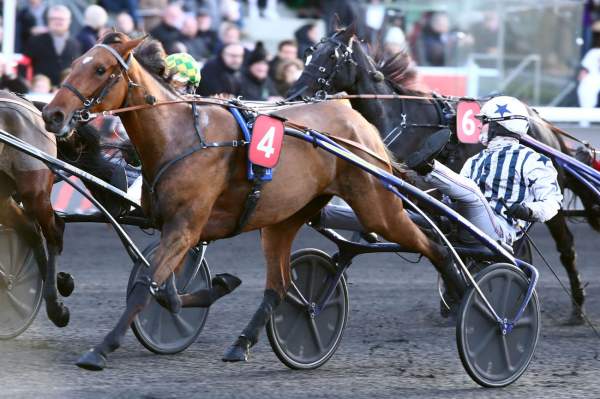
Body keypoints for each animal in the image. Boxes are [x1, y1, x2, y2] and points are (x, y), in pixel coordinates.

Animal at [44, 33, 466, 372]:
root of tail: (358, 123)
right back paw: (242, 342)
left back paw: (462, 291)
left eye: (100, 69)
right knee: (278, 286)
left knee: (433, 243)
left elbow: (147, 284)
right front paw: (211, 289)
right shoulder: (175, 227)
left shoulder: (186, 226)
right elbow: (163, 287)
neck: (182, 136)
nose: (53, 114)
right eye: (75, 64)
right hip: (284, 219)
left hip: (377, 206)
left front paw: (101, 348)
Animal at [290, 25, 600, 324]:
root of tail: (542, 124)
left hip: (549, 205)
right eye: (309, 52)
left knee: (566, 248)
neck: (400, 120)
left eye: (331, 57)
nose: (295, 94)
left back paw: (577, 307)